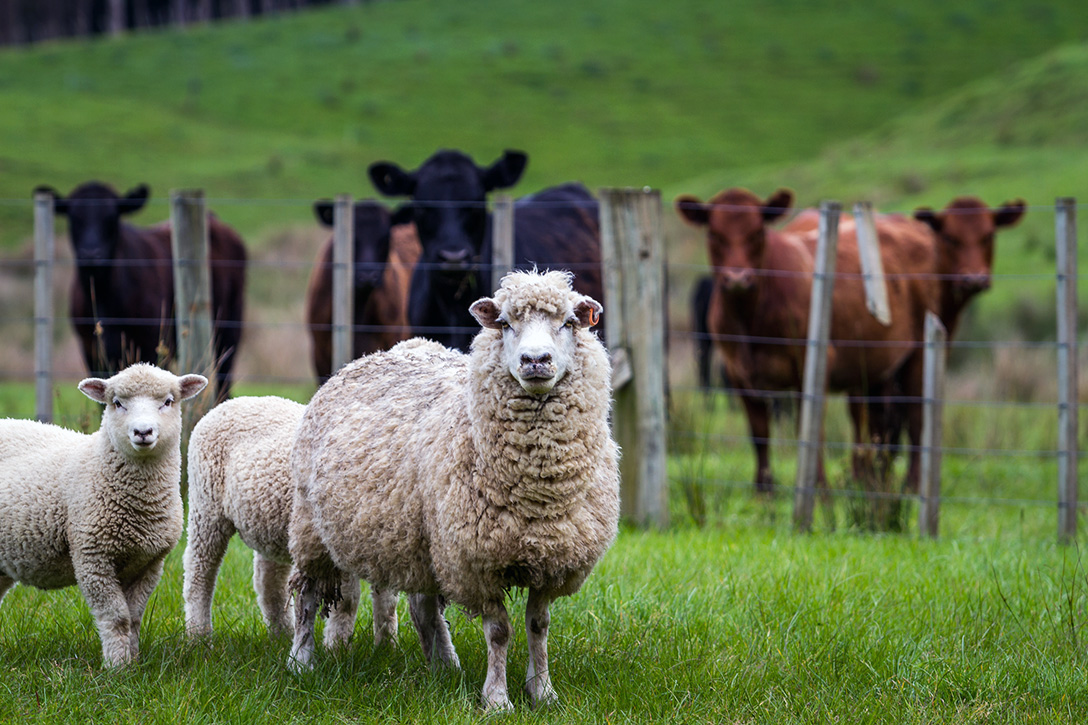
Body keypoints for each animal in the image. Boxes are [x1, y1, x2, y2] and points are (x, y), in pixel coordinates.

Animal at [0, 363, 207, 667]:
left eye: (168, 401)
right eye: (117, 403)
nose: (142, 432)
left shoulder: (149, 563)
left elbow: (134, 618)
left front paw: (133, 663)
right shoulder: (92, 557)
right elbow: (117, 618)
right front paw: (117, 667)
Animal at [35, 181, 246, 401]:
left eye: (112, 217)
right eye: (74, 218)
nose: (91, 254)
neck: (103, 297)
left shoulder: (152, 342)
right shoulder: (90, 349)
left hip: (228, 330)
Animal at [183, 395, 368, 646]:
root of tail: (227, 404)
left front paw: (387, 643)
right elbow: (348, 599)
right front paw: (337, 647)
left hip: (271, 523)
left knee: (268, 583)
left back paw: (282, 635)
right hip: (206, 506)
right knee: (199, 572)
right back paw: (198, 637)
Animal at [287, 269, 620, 710]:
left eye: (568, 323)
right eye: (505, 324)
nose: (535, 361)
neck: (537, 494)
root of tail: (373, 355)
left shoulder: (551, 559)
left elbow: (538, 626)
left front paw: (542, 692)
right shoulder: (476, 561)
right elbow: (499, 631)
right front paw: (497, 699)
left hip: (420, 538)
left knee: (424, 605)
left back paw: (444, 665)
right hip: (312, 527)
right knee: (307, 595)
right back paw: (300, 661)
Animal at [675, 187, 939, 495]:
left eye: (757, 232)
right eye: (714, 234)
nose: (738, 278)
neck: (750, 321)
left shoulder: (811, 368)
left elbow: (810, 430)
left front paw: (819, 489)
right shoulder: (736, 372)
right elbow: (759, 434)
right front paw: (764, 491)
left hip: (919, 353)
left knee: (916, 419)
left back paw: (911, 485)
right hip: (876, 364)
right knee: (879, 422)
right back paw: (874, 483)